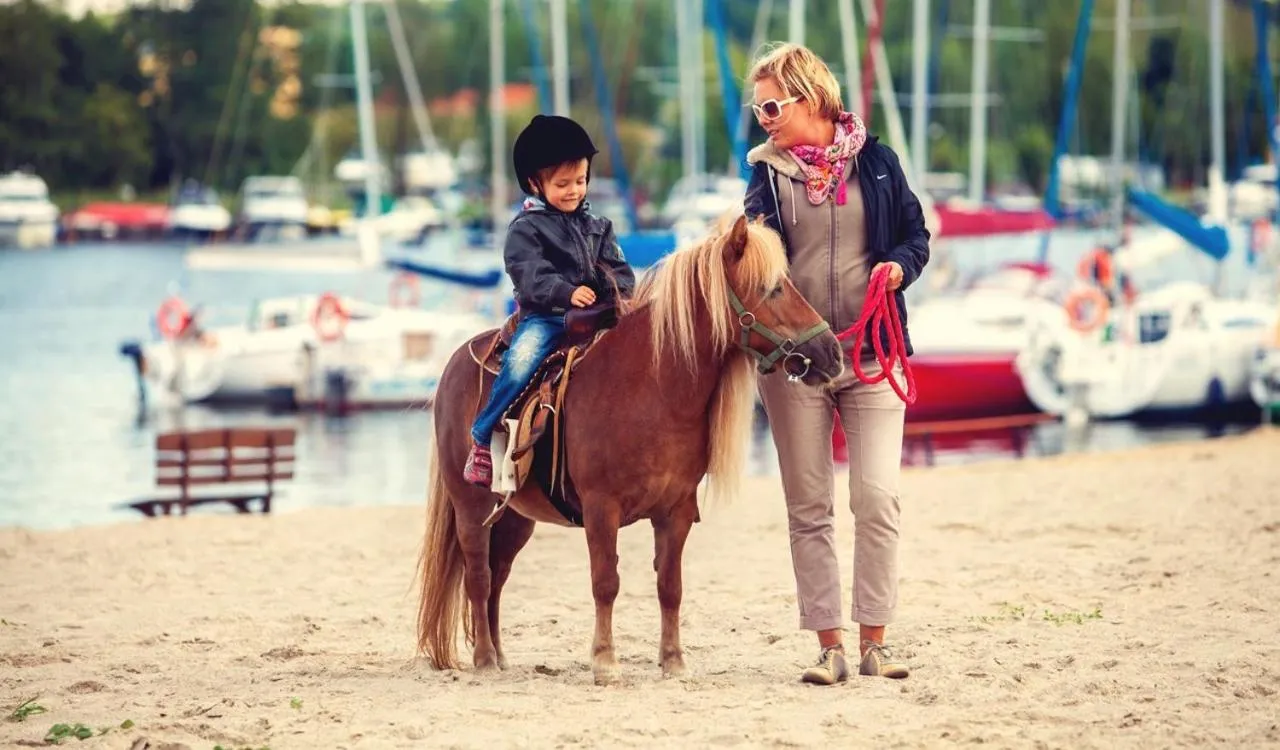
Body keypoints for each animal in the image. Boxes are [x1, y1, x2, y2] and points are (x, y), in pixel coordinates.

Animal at [415, 213, 844, 686]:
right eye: (773, 288)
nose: (832, 352)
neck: (653, 385)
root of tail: (456, 362)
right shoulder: (601, 509)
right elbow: (606, 582)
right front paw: (605, 661)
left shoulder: (676, 511)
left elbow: (670, 587)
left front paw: (673, 660)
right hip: (471, 508)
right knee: (478, 575)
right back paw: (486, 659)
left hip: (514, 517)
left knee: (498, 576)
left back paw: (500, 654)